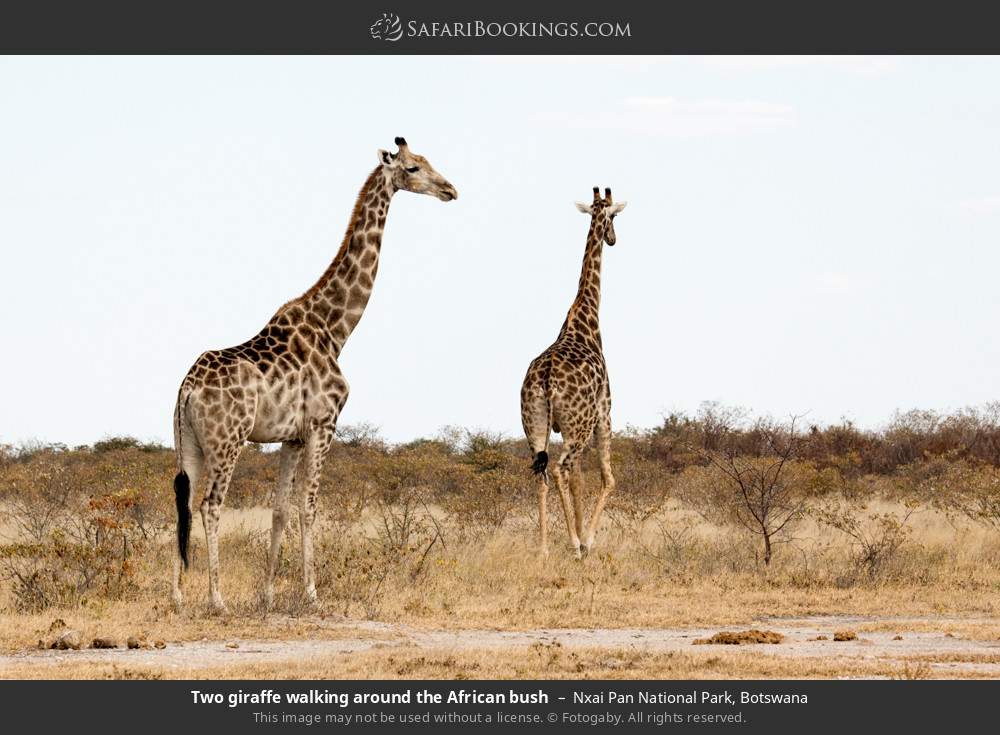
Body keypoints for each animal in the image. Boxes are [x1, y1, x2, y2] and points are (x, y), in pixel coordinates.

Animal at [171, 137, 457, 613]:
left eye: (430, 161)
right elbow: (309, 506)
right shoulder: (324, 424)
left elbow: (280, 510)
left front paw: (268, 595)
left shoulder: (292, 436)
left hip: (188, 442)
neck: (336, 328)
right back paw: (216, 599)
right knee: (211, 505)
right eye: (414, 168)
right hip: (228, 440)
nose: (451, 190)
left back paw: (176, 595)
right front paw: (311, 593)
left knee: (185, 501)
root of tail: (187, 389)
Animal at [520, 187, 627, 559]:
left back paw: (542, 549)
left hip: (535, 424)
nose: (613, 238)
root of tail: (546, 378)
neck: (585, 321)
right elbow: (608, 478)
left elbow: (581, 479)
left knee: (541, 472)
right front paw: (587, 539)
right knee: (558, 468)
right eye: (614, 215)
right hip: (577, 426)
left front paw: (580, 535)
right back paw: (574, 542)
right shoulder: (604, 411)